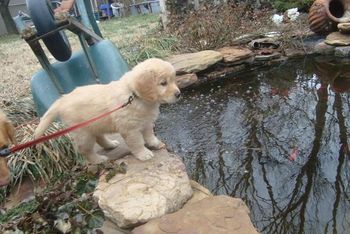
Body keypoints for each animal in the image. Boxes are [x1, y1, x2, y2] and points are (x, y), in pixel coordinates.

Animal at [34, 58, 180, 164]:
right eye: (163, 83)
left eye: (173, 80)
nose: (178, 94)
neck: (135, 95)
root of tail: (63, 99)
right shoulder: (130, 129)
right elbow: (137, 142)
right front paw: (143, 154)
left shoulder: (146, 122)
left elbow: (149, 134)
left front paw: (155, 143)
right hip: (83, 133)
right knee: (85, 150)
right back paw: (98, 160)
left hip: (94, 125)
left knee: (99, 137)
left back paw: (110, 144)